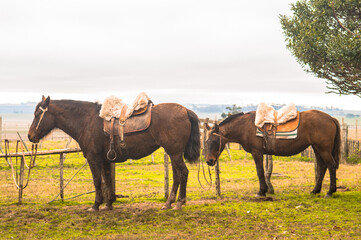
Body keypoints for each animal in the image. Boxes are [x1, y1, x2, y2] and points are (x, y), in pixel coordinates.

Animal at [27, 95, 200, 210]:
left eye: (37, 114)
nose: (30, 136)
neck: (87, 121)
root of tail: (185, 110)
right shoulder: (105, 159)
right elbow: (108, 179)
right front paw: (109, 204)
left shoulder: (94, 159)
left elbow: (98, 181)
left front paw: (96, 205)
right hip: (173, 153)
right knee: (177, 175)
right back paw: (169, 203)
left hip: (175, 153)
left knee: (183, 173)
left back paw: (179, 203)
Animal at [204, 109, 338, 198]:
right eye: (206, 141)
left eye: (215, 141)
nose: (209, 161)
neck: (246, 127)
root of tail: (331, 118)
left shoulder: (257, 152)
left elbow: (260, 172)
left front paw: (261, 192)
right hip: (317, 149)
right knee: (322, 167)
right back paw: (315, 190)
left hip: (323, 149)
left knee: (331, 166)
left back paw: (330, 192)